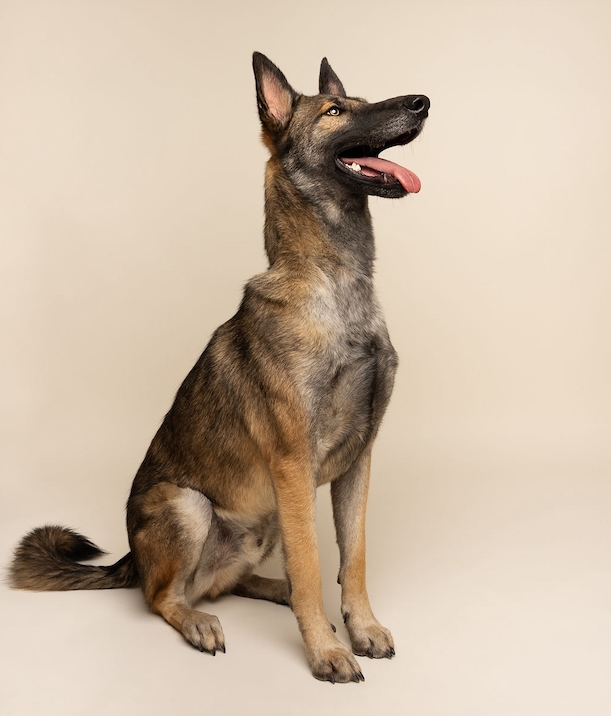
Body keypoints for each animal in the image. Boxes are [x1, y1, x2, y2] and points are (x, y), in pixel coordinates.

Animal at [9, 53, 429, 683]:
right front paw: (326, 650)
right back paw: (203, 622)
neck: (335, 282)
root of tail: (132, 559)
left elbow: (351, 557)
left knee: (227, 584)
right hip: (190, 505)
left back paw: (275, 592)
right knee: (165, 597)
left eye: (361, 100)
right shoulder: (293, 466)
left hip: (268, 519)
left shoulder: (358, 463)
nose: (422, 102)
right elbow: (313, 565)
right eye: (335, 111)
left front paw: (360, 627)